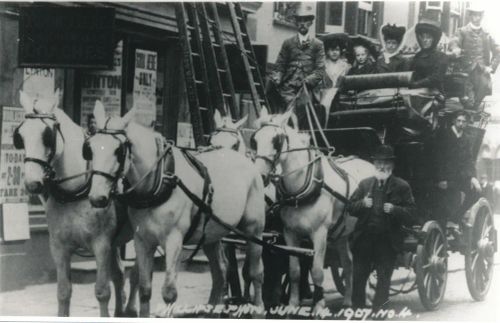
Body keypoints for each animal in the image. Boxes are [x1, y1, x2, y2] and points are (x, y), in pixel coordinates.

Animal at [15, 90, 137, 318]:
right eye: (21, 136)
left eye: (48, 135)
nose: (32, 183)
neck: (75, 191)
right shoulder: (59, 247)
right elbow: (63, 292)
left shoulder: (101, 245)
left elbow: (102, 292)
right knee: (119, 274)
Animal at [87, 102, 266, 318]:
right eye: (90, 148)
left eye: (118, 150)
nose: (97, 198)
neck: (159, 182)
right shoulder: (142, 240)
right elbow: (145, 289)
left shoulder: (174, 240)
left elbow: (169, 293)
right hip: (210, 234)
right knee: (220, 271)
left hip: (253, 230)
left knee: (255, 272)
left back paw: (258, 310)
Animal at [250, 107, 376, 312]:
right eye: (255, 139)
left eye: (277, 140)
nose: (259, 176)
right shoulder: (290, 233)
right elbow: (294, 271)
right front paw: (293, 304)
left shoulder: (319, 233)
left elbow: (317, 272)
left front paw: (319, 305)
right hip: (342, 234)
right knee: (348, 263)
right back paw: (348, 301)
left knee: (367, 262)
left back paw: (367, 297)